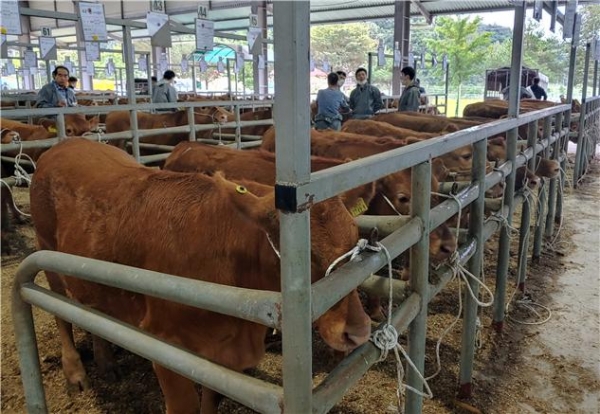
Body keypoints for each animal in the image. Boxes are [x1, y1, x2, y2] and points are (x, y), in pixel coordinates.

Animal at [31, 138, 370, 410]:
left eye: (355, 237)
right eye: (301, 254)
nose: (358, 331)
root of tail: (65, 144)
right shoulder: (164, 342)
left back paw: (106, 361)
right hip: (46, 249)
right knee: (61, 313)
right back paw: (75, 371)